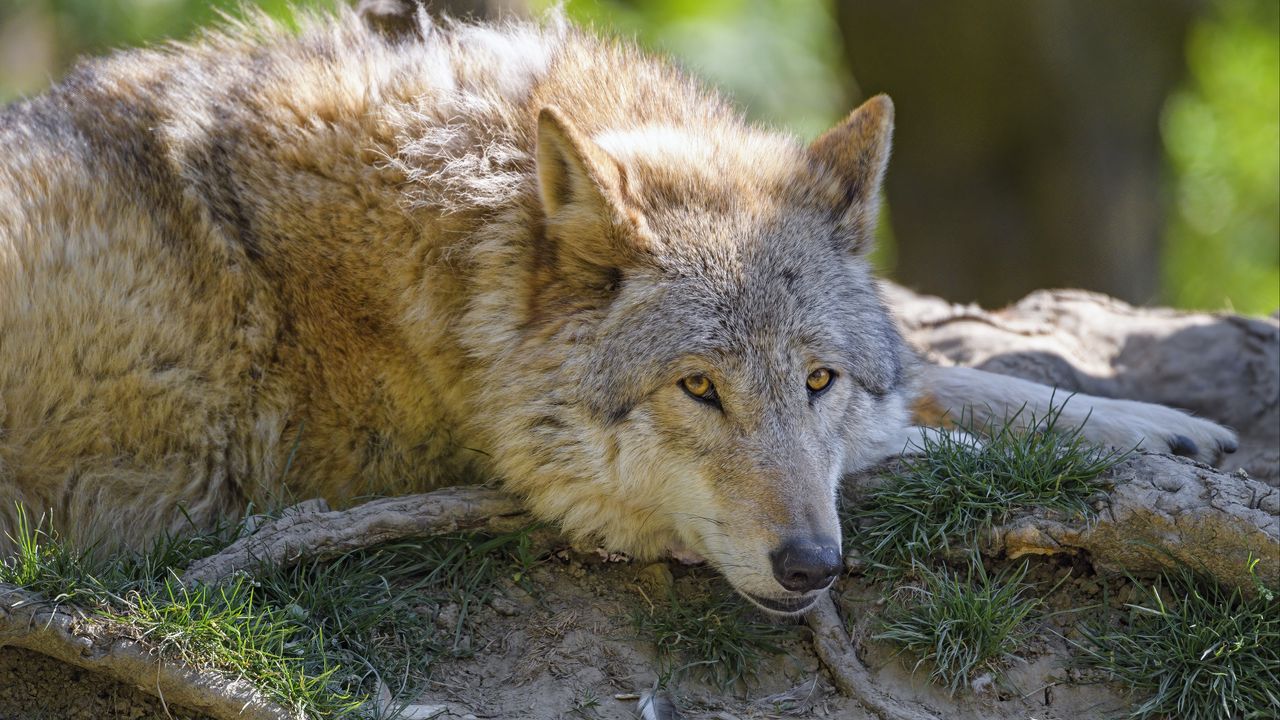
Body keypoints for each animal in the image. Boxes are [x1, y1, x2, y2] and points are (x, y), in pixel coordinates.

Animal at [0, 4, 1236, 614]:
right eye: (697, 389)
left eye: (818, 379)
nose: (811, 569)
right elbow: (921, 439)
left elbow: (945, 373)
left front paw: (1156, 425)